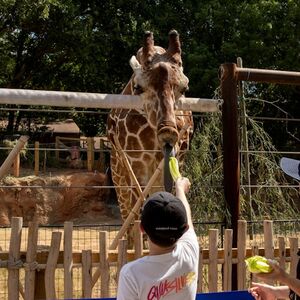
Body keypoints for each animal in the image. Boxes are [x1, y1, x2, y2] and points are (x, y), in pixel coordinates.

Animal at [106, 29, 193, 227]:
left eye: (185, 88)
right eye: (138, 87)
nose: (168, 129)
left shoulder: (172, 161)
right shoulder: (136, 165)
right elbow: (139, 215)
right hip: (118, 174)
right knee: (127, 214)